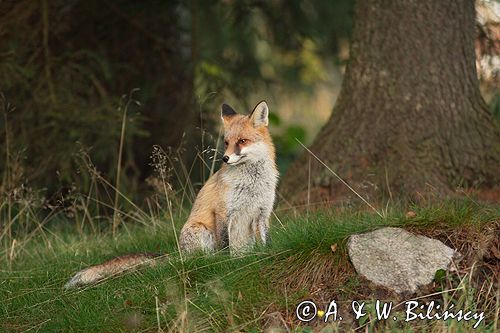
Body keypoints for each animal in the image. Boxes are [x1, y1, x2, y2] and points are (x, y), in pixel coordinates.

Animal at [63, 100, 278, 286]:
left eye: (242, 141)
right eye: (226, 142)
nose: (225, 158)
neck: (252, 183)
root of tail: (180, 254)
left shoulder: (262, 213)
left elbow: (266, 241)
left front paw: (266, 254)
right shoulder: (223, 213)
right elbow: (225, 246)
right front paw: (227, 264)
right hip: (201, 231)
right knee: (202, 258)